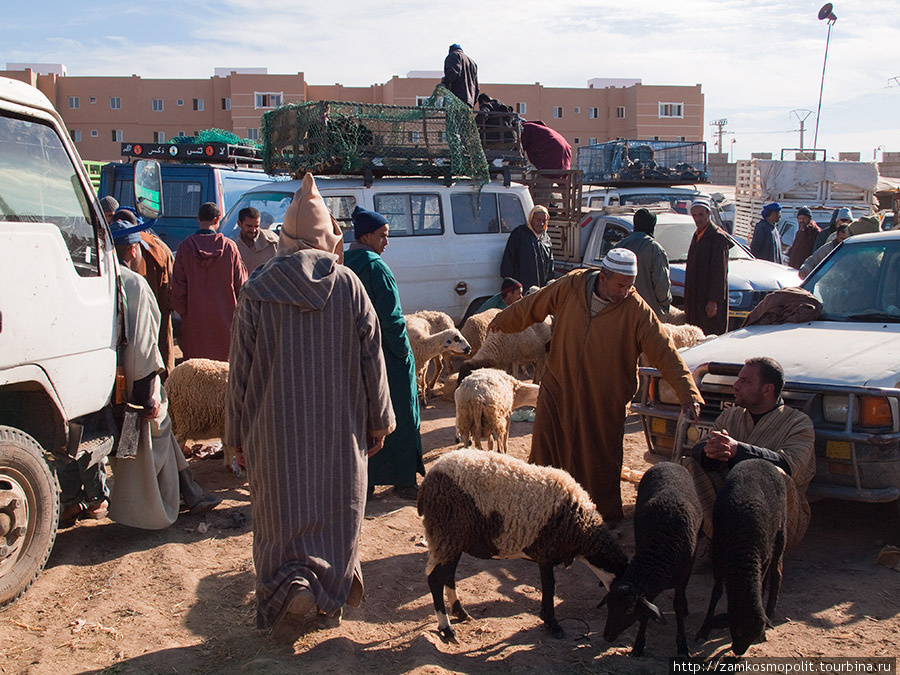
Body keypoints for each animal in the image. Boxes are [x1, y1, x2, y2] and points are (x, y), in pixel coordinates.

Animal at [414, 448, 624, 644]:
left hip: (454, 539)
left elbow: (548, 586)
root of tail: (429, 480)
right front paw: (553, 625)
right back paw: (446, 628)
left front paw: (548, 620)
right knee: (435, 578)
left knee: (448, 575)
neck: (582, 528)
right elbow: (549, 587)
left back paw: (460, 612)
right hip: (447, 533)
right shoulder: (546, 551)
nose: (609, 637)